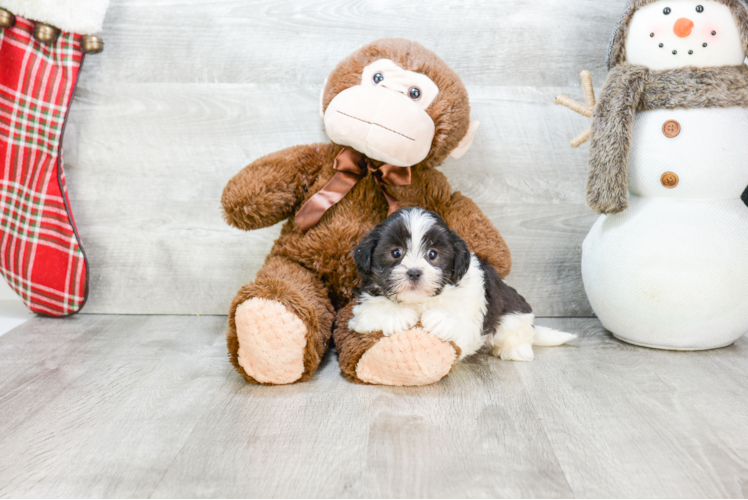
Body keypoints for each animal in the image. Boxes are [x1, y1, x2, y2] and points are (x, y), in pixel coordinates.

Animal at [348, 205, 576, 362]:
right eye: (396, 252)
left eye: (433, 254)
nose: (414, 272)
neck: (420, 301)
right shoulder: (363, 305)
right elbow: (372, 310)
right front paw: (396, 315)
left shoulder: (473, 301)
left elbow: (461, 318)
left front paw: (442, 318)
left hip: (513, 311)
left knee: (515, 328)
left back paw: (516, 349)